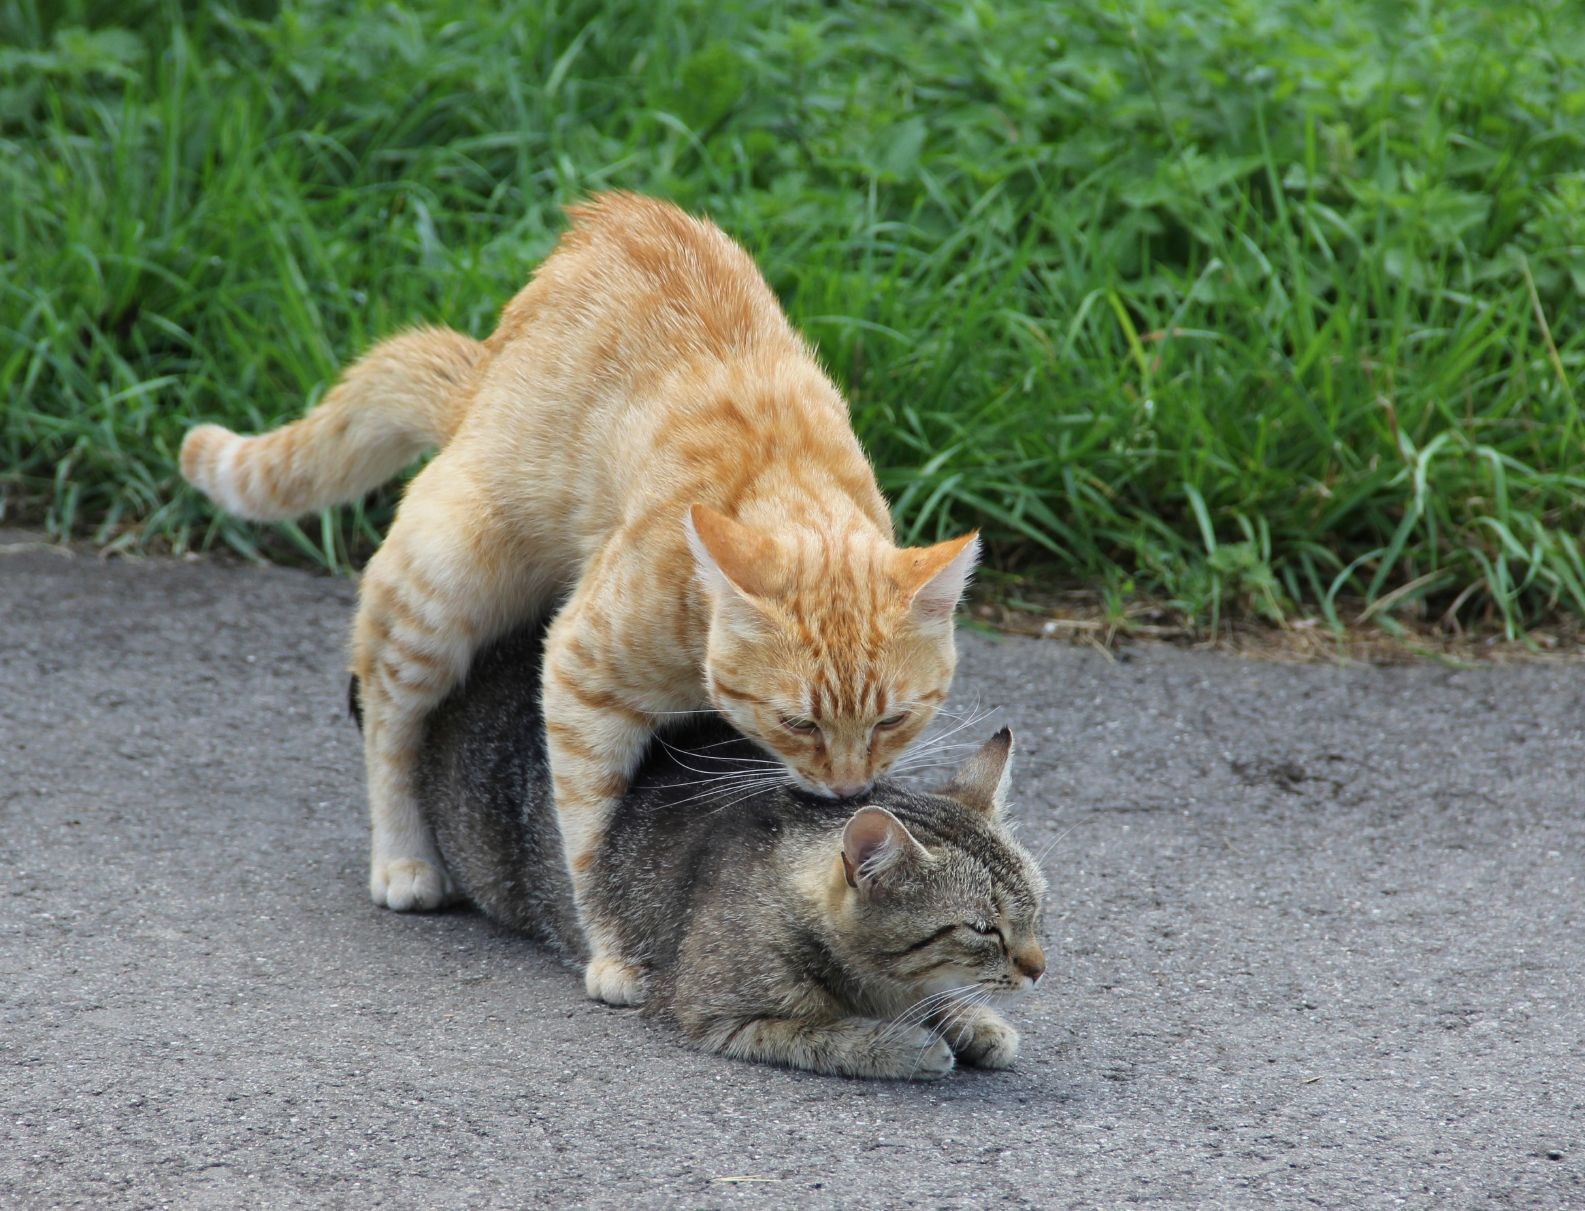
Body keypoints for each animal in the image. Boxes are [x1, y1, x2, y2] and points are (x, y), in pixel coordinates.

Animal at [185, 191, 976, 1001]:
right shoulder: (577, 678)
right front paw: (612, 952)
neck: (787, 479)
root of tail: (479, 379)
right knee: (387, 725)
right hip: (444, 590)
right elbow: (592, 848)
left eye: (894, 719)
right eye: (798, 722)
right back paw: (403, 858)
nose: (849, 789)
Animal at [396, 624, 1046, 1077]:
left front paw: (971, 1021)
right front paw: (907, 1044)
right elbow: (825, 1035)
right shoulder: (716, 1015)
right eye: (983, 930)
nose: (1040, 969)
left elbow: (938, 994)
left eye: (1036, 912)